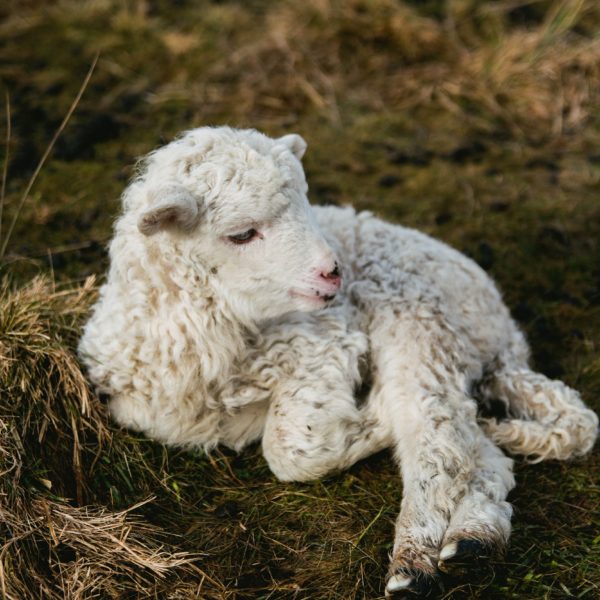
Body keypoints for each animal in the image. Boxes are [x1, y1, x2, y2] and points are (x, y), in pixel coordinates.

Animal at [77, 125, 596, 596]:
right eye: (241, 234)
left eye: (307, 205)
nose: (333, 272)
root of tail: (504, 337)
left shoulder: (325, 341)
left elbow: (290, 450)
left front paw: (372, 419)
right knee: (479, 451)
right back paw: (473, 542)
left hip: (419, 317)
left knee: (436, 434)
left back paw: (415, 565)